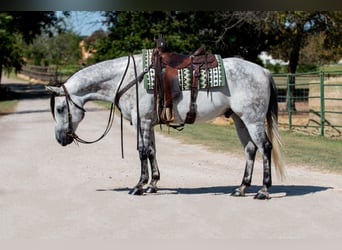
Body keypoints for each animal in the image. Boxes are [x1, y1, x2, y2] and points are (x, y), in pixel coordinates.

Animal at [46, 54, 284, 199]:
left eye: (60, 108)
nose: (60, 139)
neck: (128, 78)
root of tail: (264, 71)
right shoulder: (148, 123)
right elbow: (152, 151)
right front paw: (153, 184)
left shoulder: (141, 122)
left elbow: (142, 152)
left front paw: (139, 186)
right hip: (239, 119)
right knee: (250, 149)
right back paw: (241, 188)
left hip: (252, 119)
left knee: (265, 147)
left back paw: (263, 190)